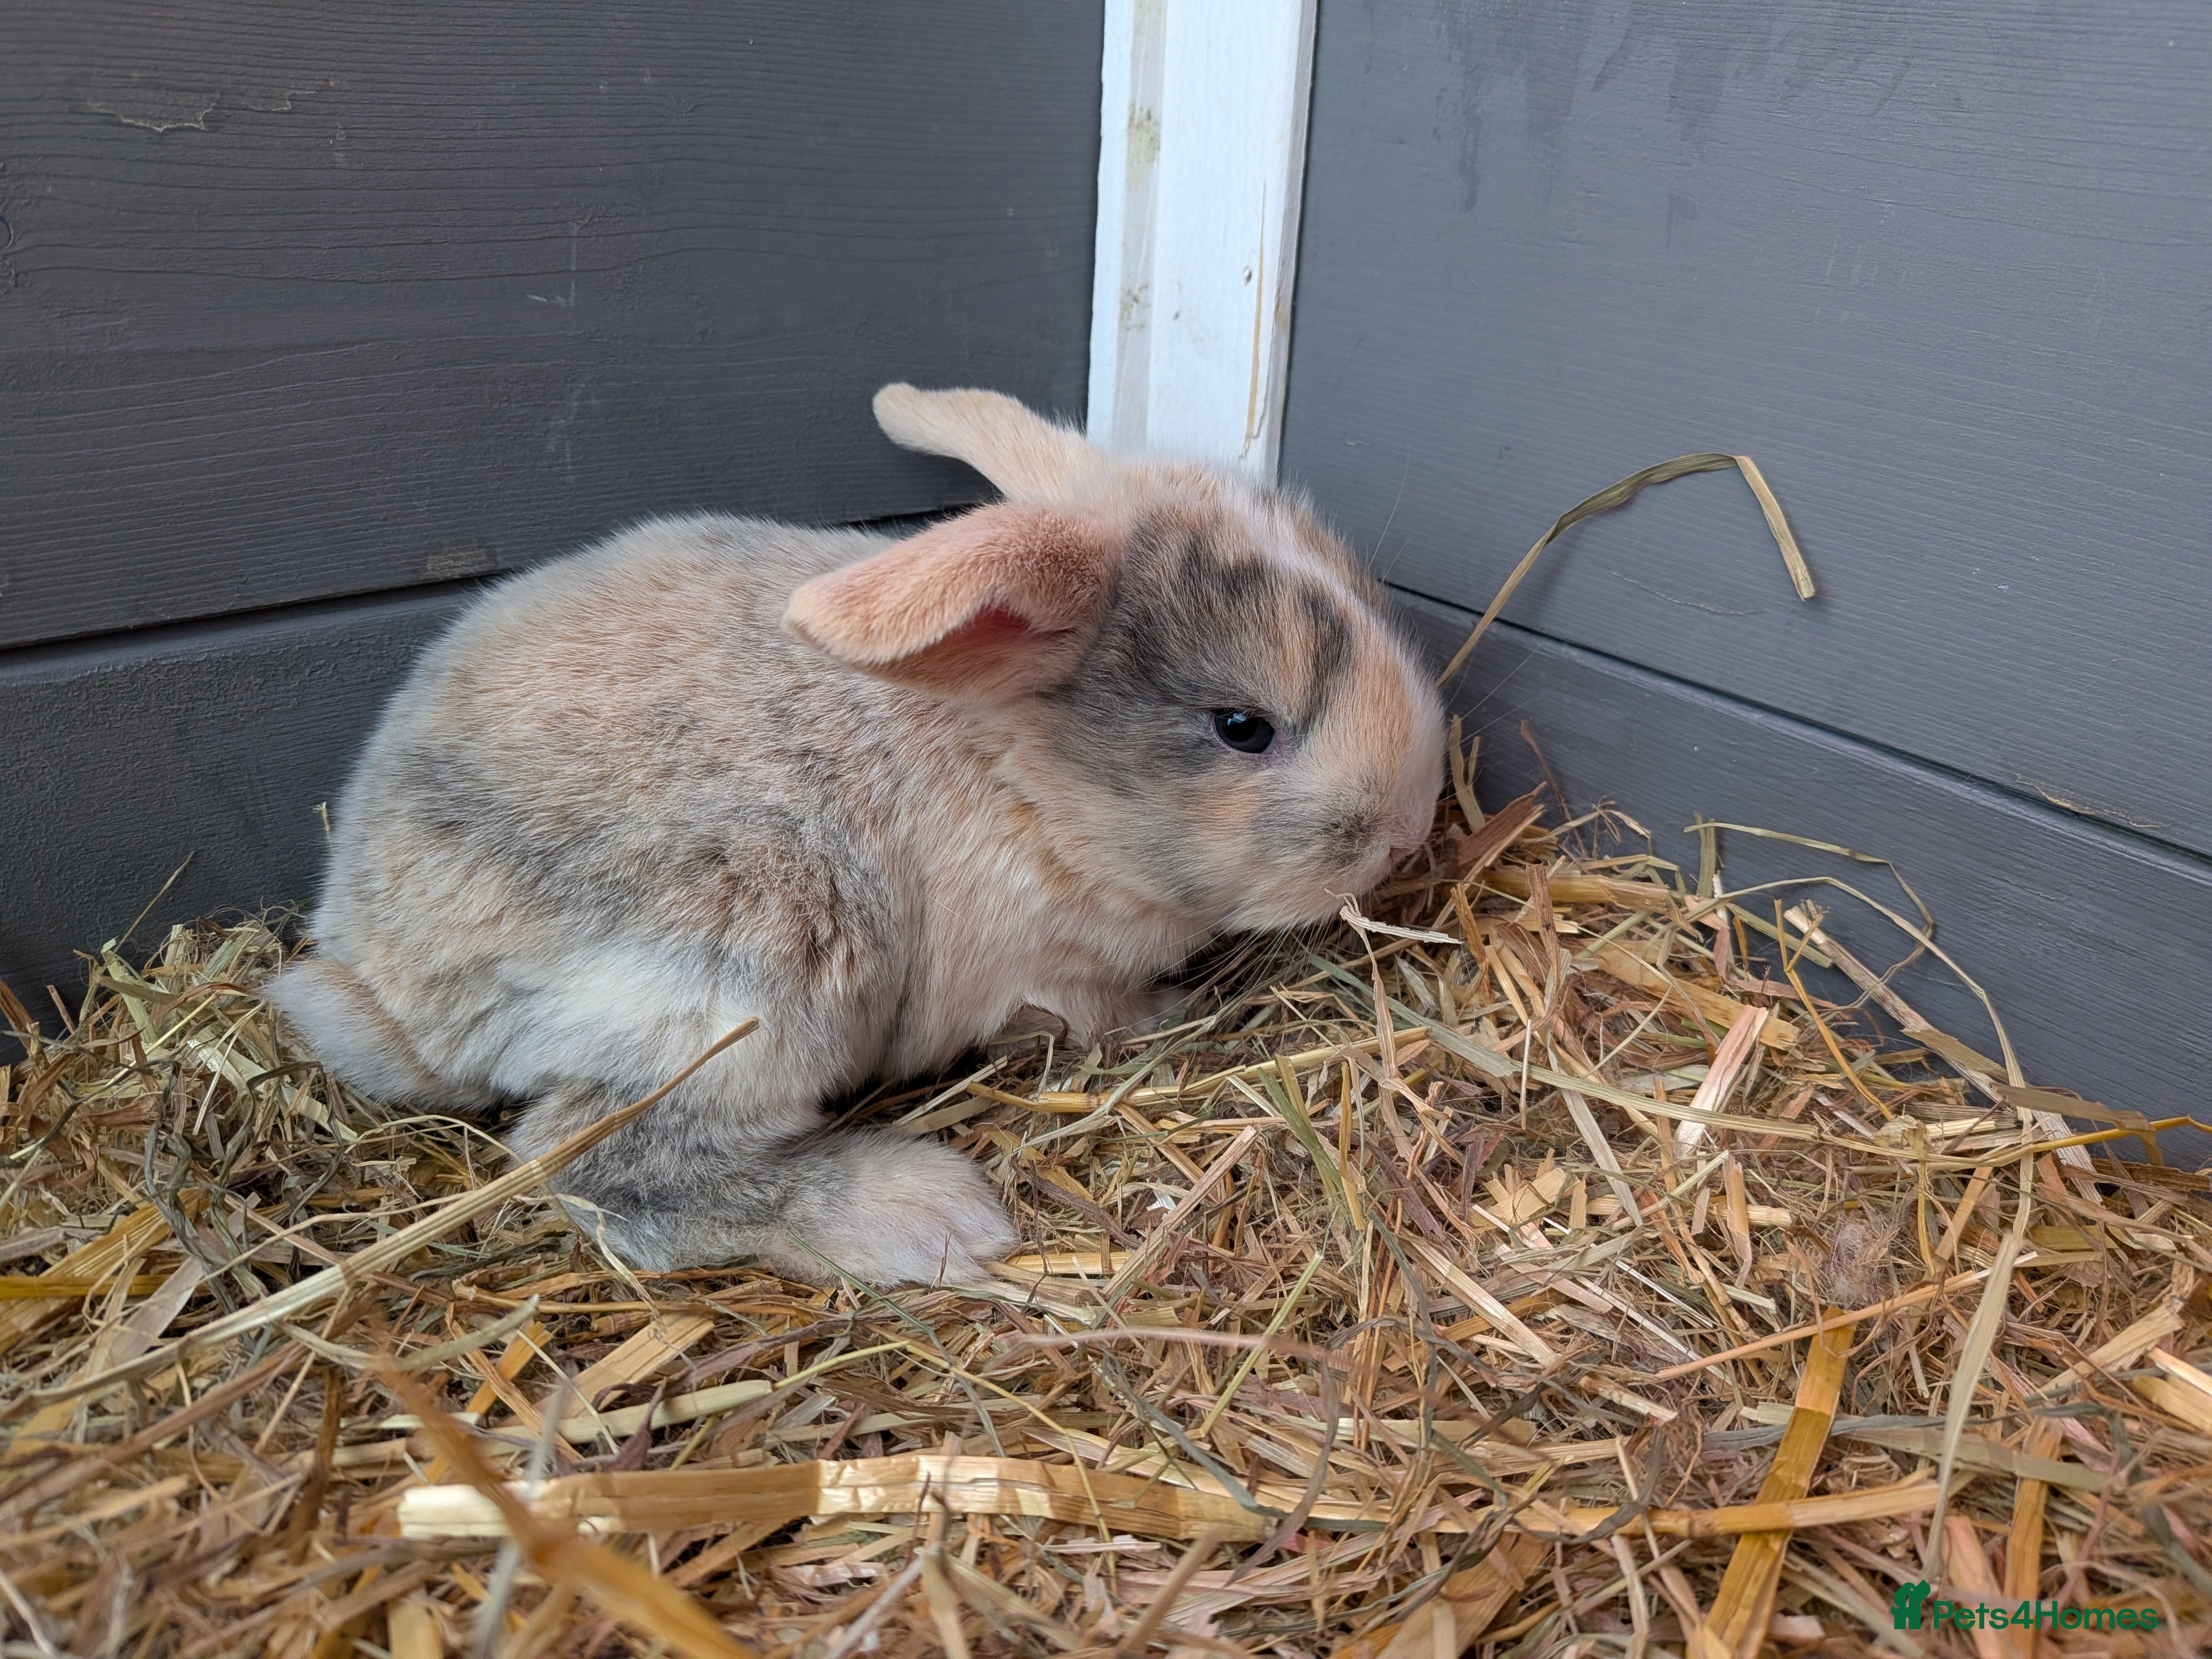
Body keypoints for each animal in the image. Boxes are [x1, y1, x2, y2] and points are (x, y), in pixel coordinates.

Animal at [268, 384, 1447, 1285]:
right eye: (1243, 727)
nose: (1410, 827)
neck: (1020, 775)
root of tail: (381, 973)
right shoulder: (1040, 979)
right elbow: (1089, 1016)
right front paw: (1168, 1013)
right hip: (744, 970)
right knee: (602, 1164)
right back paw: (927, 1215)